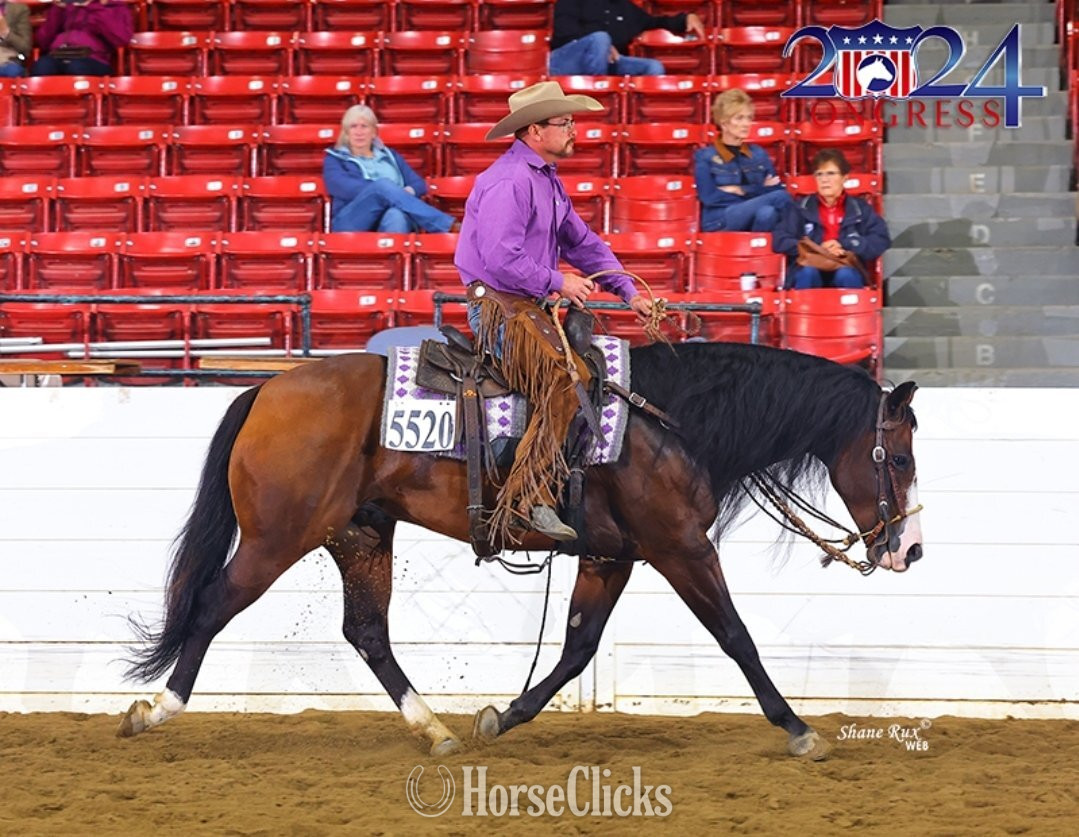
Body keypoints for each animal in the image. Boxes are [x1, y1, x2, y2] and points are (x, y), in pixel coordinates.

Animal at [118, 340, 922, 760]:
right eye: (902, 456)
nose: (909, 550)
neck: (670, 426)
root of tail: (265, 389)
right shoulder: (681, 548)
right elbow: (736, 635)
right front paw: (798, 728)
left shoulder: (609, 557)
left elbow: (576, 647)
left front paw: (502, 715)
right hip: (278, 536)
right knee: (212, 606)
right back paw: (155, 711)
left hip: (361, 532)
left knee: (367, 630)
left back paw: (436, 729)